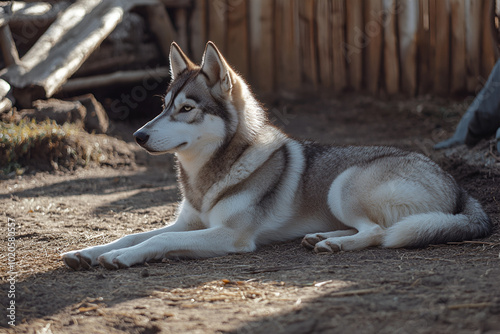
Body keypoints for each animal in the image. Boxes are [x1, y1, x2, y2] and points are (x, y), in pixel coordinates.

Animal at [62, 42, 492, 272]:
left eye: (186, 109)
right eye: (164, 105)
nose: (138, 136)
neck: (208, 178)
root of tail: (460, 189)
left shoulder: (230, 236)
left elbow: (158, 242)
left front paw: (121, 258)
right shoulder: (187, 223)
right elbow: (134, 233)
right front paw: (87, 253)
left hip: (343, 185)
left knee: (378, 233)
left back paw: (334, 245)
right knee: (370, 229)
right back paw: (321, 237)